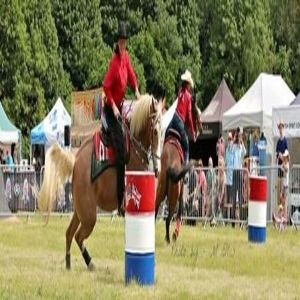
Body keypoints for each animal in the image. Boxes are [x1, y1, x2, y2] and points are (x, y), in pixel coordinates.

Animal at [39, 95, 164, 270]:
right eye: (155, 131)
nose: (158, 169)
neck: (134, 148)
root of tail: (75, 162)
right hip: (89, 215)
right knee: (78, 236)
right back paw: (90, 263)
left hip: (80, 211)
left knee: (69, 233)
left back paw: (69, 264)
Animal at [155, 101, 202, 244]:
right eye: (196, 112)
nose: (200, 129)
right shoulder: (181, 193)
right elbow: (180, 213)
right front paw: (176, 233)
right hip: (174, 197)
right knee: (169, 218)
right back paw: (170, 238)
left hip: (159, 194)